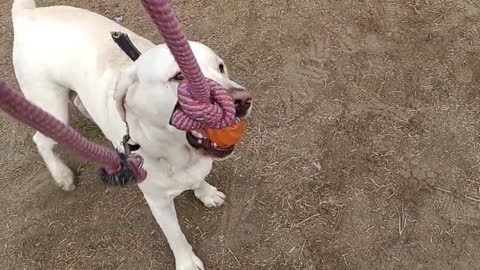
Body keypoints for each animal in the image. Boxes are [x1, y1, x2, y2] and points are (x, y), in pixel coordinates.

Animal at [10, 1, 251, 268]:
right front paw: (186, 262)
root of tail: (27, 14)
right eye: (179, 76)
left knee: (78, 102)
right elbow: (175, 236)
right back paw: (61, 174)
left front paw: (206, 193)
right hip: (52, 109)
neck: (176, 153)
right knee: (41, 140)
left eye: (220, 67)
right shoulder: (158, 201)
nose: (242, 101)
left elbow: (198, 179)